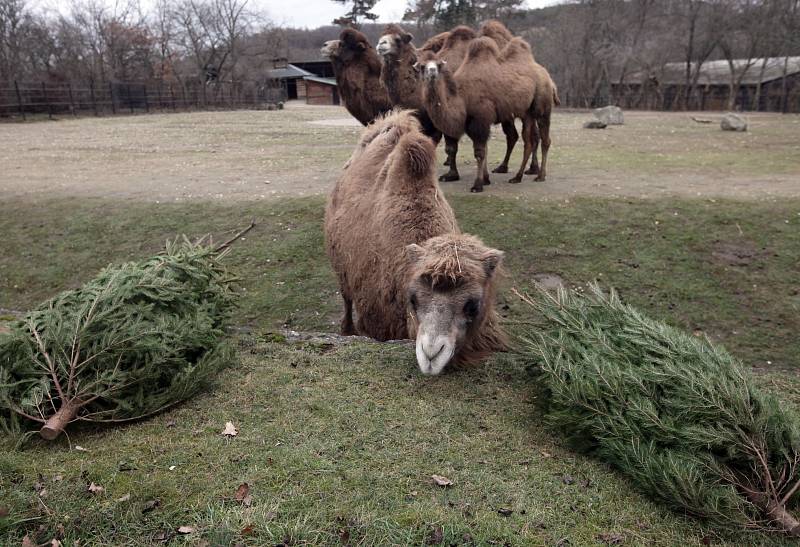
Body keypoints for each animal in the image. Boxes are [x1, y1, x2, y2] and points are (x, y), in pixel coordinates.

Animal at [324, 110, 506, 376]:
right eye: (412, 299)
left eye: (472, 305)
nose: (431, 354)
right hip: (340, 264)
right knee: (346, 295)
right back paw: (347, 330)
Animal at [422, 36, 540, 193]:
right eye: (422, 67)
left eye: (438, 65)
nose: (432, 71)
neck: (462, 99)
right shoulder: (478, 123)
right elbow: (484, 149)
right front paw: (485, 179)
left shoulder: (480, 120)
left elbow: (480, 153)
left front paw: (478, 184)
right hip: (523, 113)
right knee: (523, 137)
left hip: (528, 112)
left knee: (528, 140)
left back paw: (521, 175)